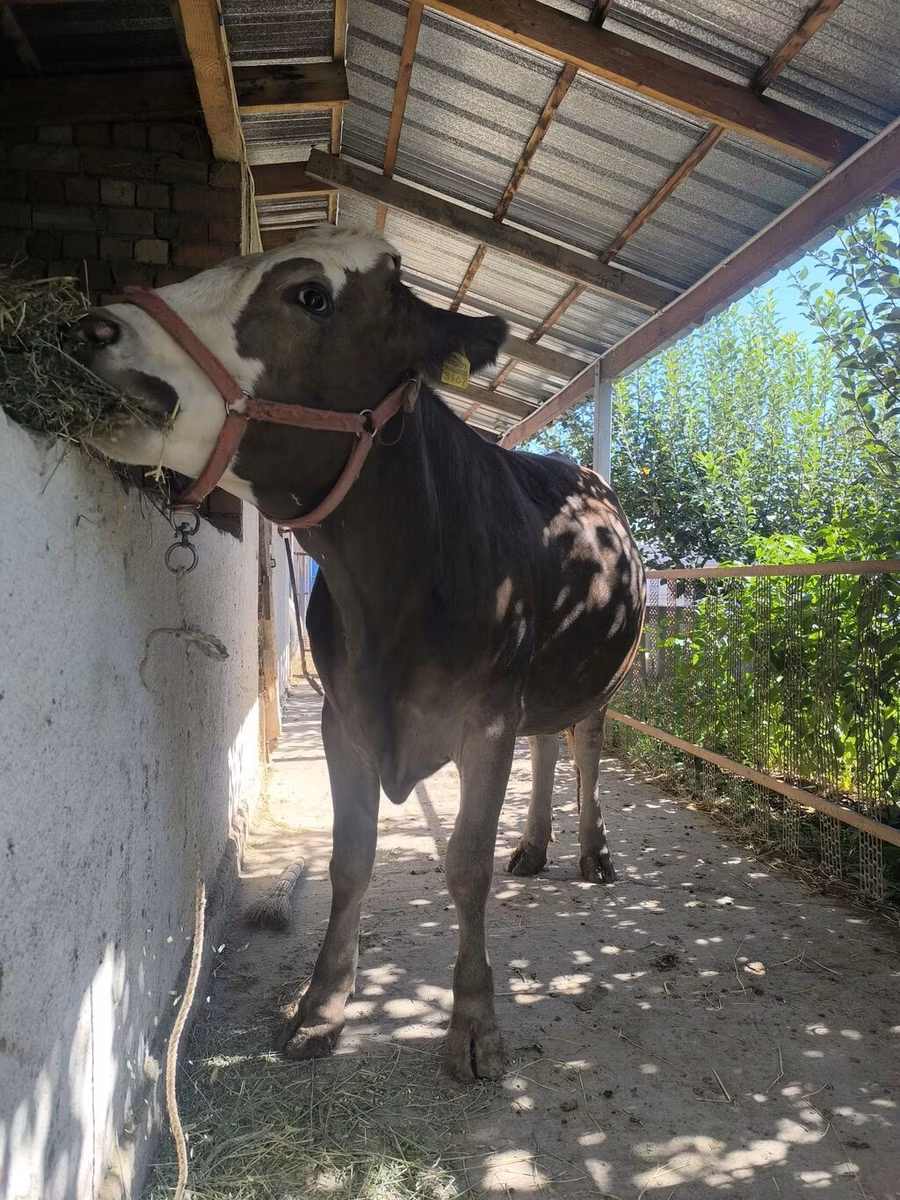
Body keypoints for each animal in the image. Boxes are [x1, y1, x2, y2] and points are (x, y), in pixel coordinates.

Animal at [67, 227, 646, 1082]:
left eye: (311, 295)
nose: (94, 326)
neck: (393, 594)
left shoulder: (487, 720)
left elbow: (465, 867)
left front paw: (474, 1024)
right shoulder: (344, 718)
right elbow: (350, 860)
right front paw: (321, 1006)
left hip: (604, 679)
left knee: (582, 747)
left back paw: (593, 853)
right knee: (548, 746)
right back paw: (536, 845)